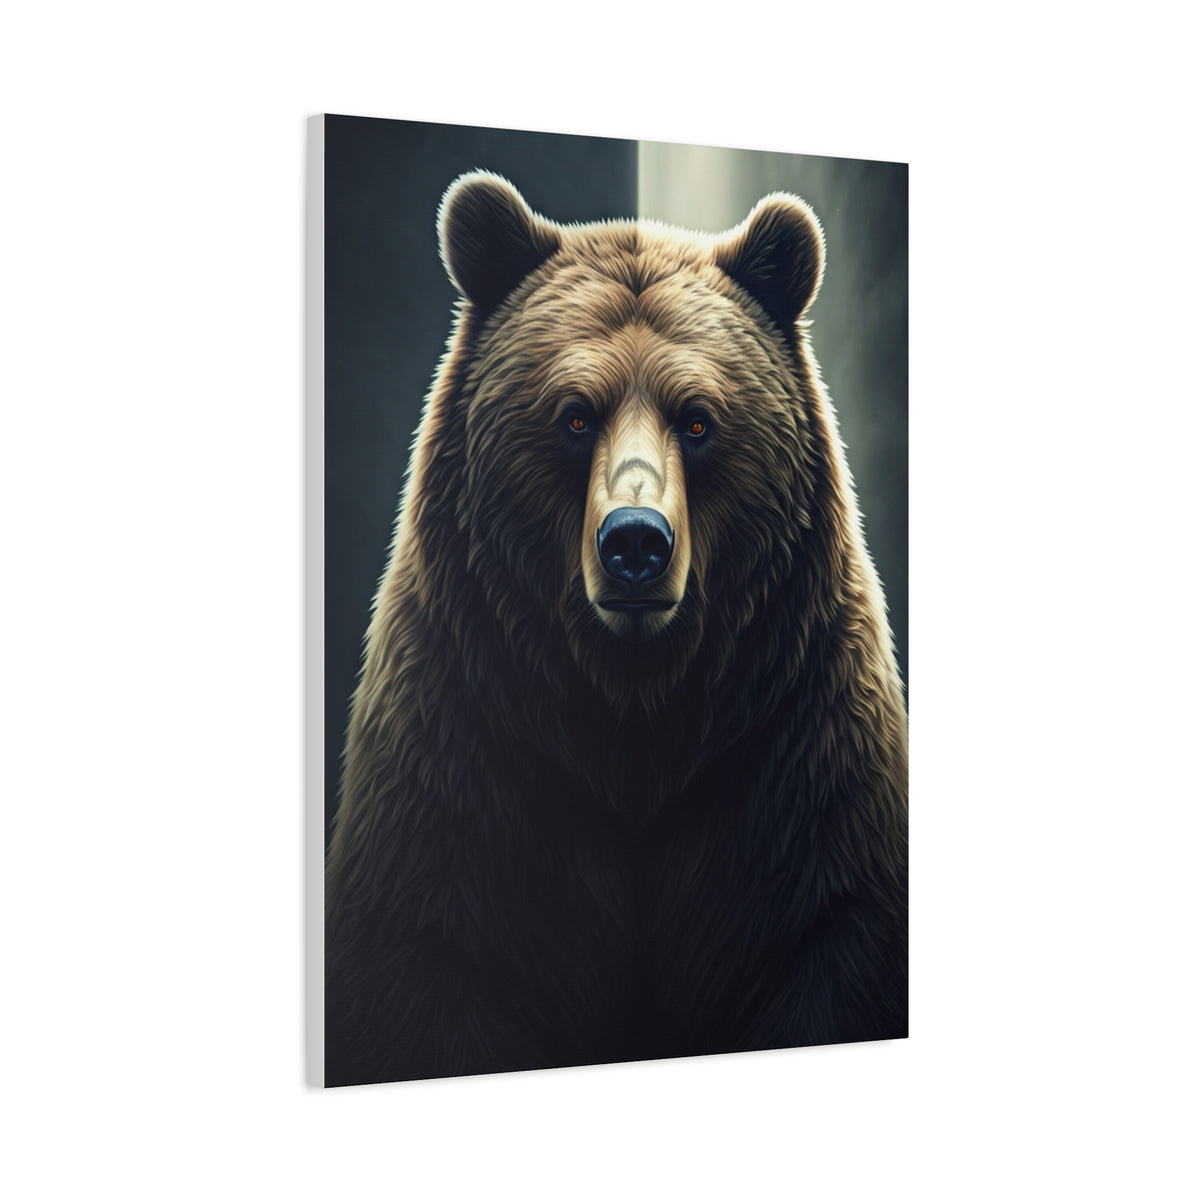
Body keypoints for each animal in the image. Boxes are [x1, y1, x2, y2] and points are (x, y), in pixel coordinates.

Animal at [324, 171, 908, 1086]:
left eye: (698, 419)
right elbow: (434, 961)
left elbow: (828, 934)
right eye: (574, 415)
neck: (631, 720)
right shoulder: (464, 764)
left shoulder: (796, 770)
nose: (635, 541)